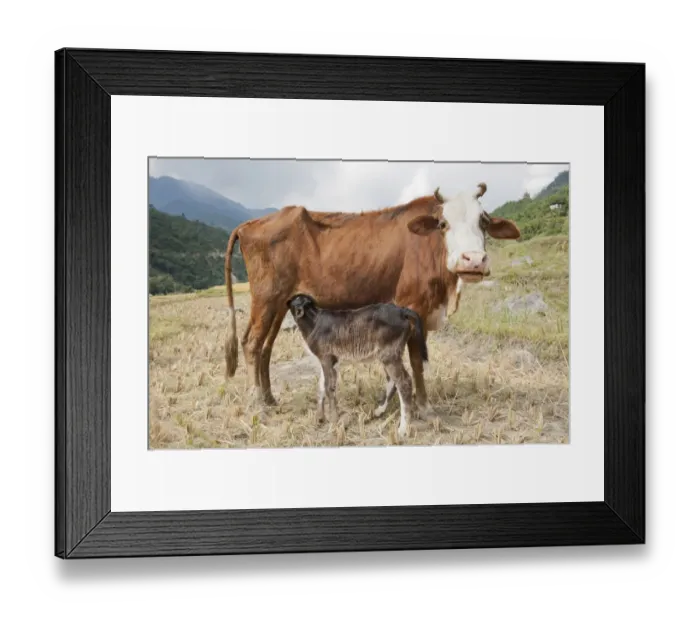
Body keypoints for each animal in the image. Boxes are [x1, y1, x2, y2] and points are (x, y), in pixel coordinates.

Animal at [223, 183, 520, 416]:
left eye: (483, 221)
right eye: (443, 224)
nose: (473, 260)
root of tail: (251, 224)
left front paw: (388, 405)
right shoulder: (414, 307)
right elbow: (416, 362)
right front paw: (423, 406)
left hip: (280, 303)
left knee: (266, 347)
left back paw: (270, 400)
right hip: (265, 298)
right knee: (251, 344)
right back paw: (259, 406)